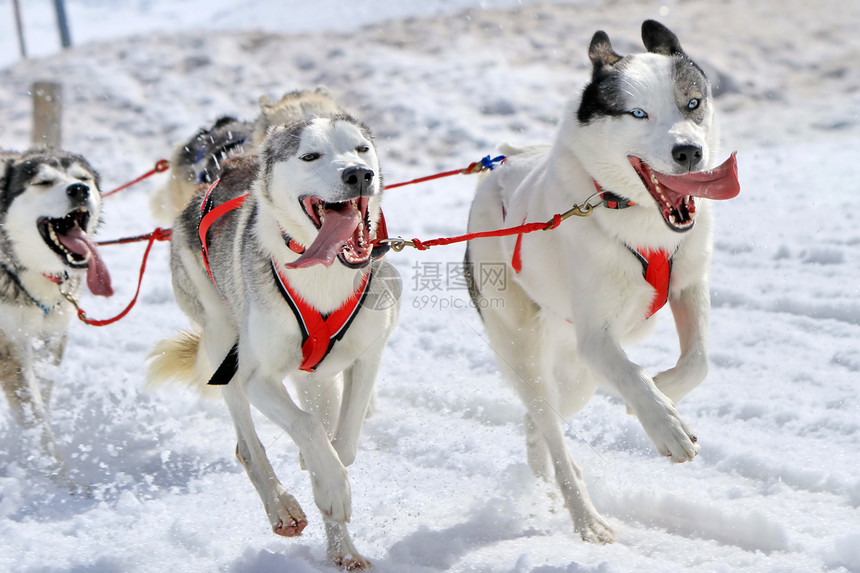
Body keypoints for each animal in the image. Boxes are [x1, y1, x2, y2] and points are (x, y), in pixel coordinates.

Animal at [0, 146, 112, 482]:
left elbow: (40, 400)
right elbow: (36, 417)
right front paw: (63, 480)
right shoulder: (10, 346)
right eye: (43, 182)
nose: (78, 190)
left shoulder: (50, 338)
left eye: (82, 178)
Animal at [149, 113, 400, 568]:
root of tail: (222, 169)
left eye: (361, 149)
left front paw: (327, 479)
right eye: (310, 155)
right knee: (247, 447)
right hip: (222, 344)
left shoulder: (368, 357)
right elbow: (306, 427)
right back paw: (282, 507)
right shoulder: (257, 379)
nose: (359, 174)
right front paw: (331, 486)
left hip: (314, 376)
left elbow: (344, 441)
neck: (325, 273)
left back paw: (343, 552)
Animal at [464, 20, 740, 544]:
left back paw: (546, 476)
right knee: (550, 427)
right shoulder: (596, 336)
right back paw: (586, 517)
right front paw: (664, 424)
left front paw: (664, 391)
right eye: (638, 113)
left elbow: (699, 361)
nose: (689, 151)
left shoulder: (689, 286)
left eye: (692, 103)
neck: (631, 214)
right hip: (528, 352)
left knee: (539, 424)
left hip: (577, 379)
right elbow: (632, 375)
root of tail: (501, 167)